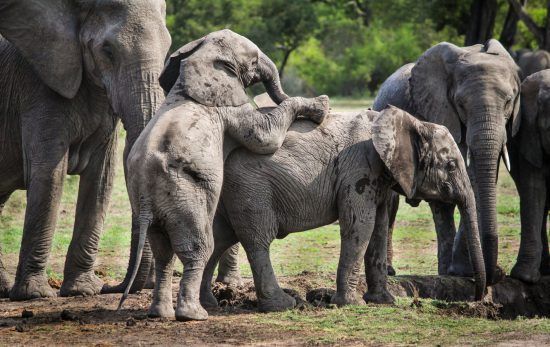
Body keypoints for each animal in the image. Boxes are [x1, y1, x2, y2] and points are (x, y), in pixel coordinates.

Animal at [0, 0, 170, 302]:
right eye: (108, 51)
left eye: (168, 49)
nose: (112, 287)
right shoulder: (37, 87)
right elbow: (49, 176)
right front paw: (35, 295)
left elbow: (100, 180)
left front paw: (81, 290)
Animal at [118, 28, 330, 322]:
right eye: (253, 61)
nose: (321, 99)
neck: (199, 57)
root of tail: (147, 199)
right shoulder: (230, 106)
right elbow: (266, 138)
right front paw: (321, 106)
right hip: (183, 194)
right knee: (198, 247)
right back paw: (194, 315)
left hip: (148, 203)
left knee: (163, 253)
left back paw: (160, 314)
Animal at [202, 106, 488, 316]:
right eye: (451, 165)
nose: (477, 299)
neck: (411, 122)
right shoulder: (359, 167)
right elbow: (360, 224)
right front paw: (352, 304)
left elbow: (379, 227)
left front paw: (384, 301)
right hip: (250, 187)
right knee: (258, 240)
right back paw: (283, 306)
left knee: (219, 238)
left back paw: (209, 304)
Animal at [374, 40, 524, 286]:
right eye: (460, 104)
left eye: (509, 102)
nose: (496, 275)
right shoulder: (441, 112)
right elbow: (471, 180)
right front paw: (467, 272)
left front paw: (470, 273)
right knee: (392, 204)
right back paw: (390, 271)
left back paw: (446, 271)